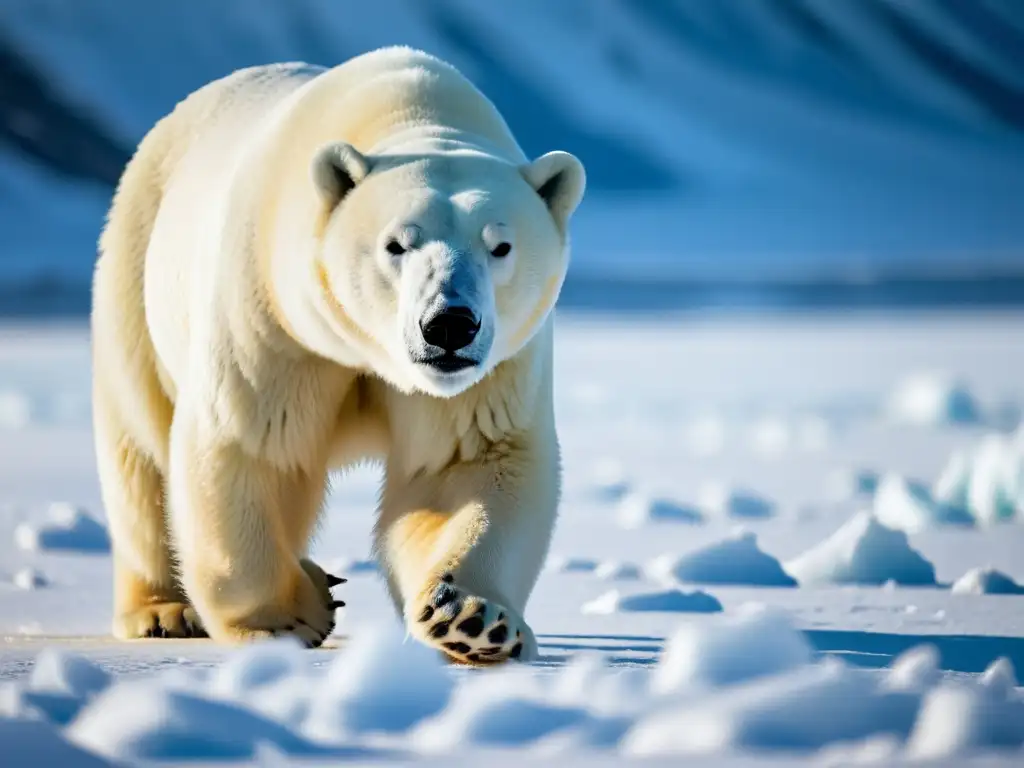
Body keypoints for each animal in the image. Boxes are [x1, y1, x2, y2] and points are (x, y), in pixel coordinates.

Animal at [90, 45, 585, 663]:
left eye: (501, 245)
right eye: (396, 244)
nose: (449, 324)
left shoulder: (488, 372)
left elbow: (468, 461)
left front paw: (473, 618)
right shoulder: (277, 323)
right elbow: (254, 445)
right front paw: (286, 617)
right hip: (134, 268)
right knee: (141, 449)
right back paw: (164, 610)